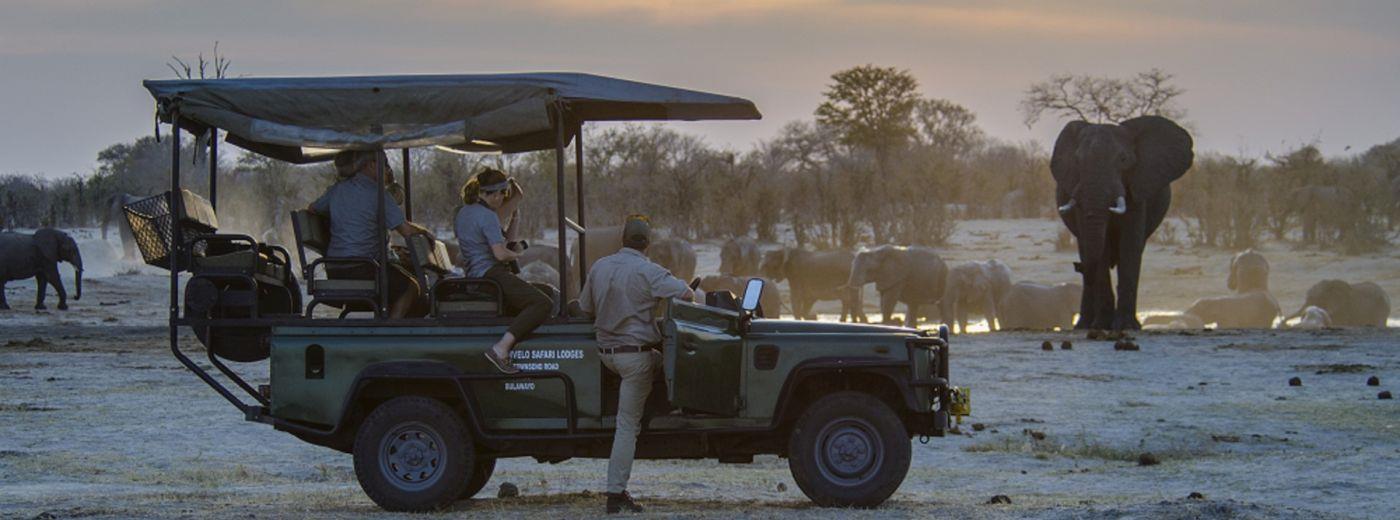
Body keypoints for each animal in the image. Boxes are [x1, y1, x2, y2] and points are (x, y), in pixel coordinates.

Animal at [1052, 116, 1192, 332]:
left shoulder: (1137, 188)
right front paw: (1102, 326)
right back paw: (1085, 326)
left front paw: (1126, 326)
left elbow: (1130, 245)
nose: (1076, 265)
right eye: (1077, 161)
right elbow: (1099, 248)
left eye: (1124, 159)